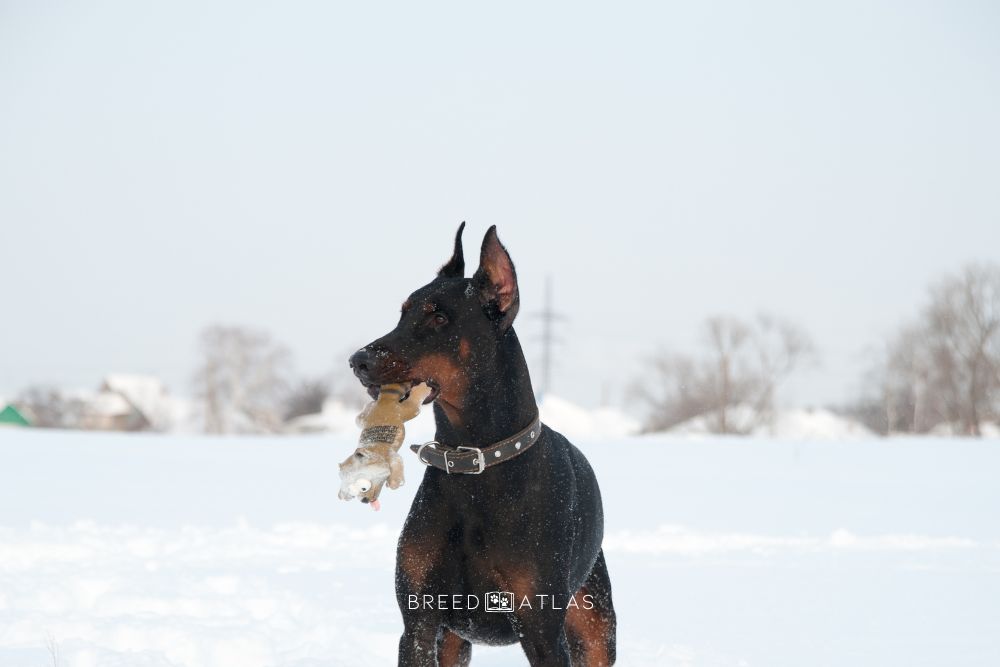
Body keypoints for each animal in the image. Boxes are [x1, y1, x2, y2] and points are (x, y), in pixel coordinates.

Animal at [352, 226, 616, 667]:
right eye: (403, 312)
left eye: (440, 317)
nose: (359, 360)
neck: (473, 464)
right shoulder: (419, 624)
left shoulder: (543, 631)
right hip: (454, 641)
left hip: (595, 625)